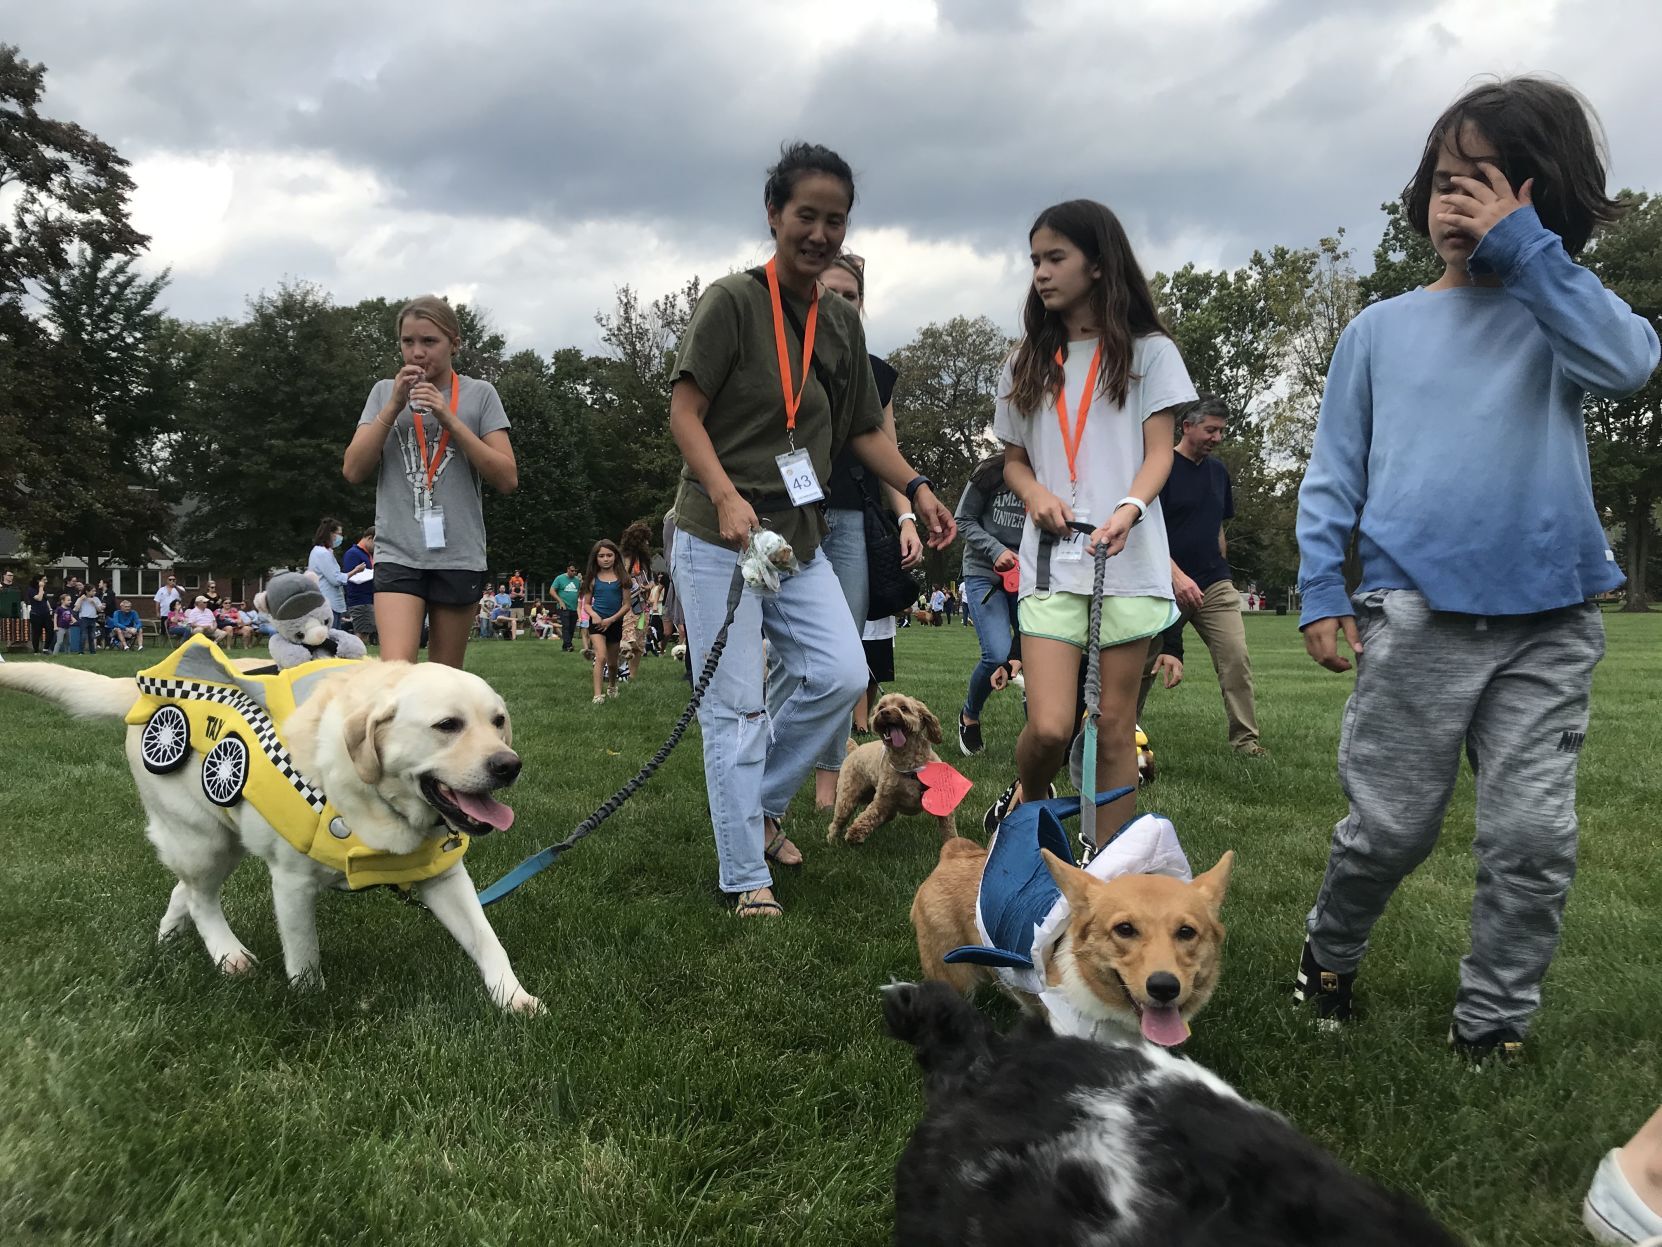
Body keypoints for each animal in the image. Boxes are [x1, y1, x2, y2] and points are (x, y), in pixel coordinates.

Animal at [0, 665, 541, 1017]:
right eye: (447, 725)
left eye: (498, 721)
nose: (509, 765)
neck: (378, 801)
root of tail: (138, 690)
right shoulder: (293, 883)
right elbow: (304, 956)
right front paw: (310, 1006)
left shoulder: (445, 877)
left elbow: (489, 942)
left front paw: (514, 999)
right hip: (203, 840)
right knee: (200, 898)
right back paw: (227, 955)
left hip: (221, 836)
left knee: (182, 892)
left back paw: (169, 938)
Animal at [827, 694, 957, 851]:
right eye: (881, 707)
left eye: (904, 708)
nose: (884, 713)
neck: (910, 767)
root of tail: (855, 749)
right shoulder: (882, 800)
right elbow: (868, 816)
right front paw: (854, 833)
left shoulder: (941, 800)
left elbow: (949, 829)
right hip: (847, 797)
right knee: (837, 821)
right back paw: (833, 841)